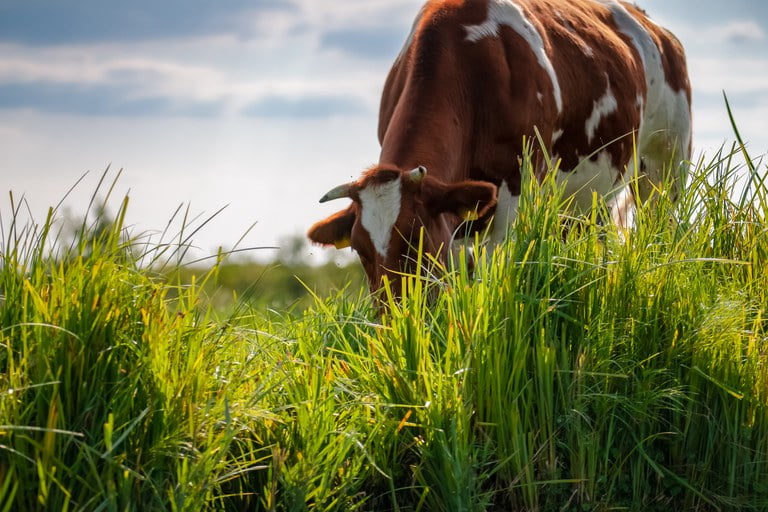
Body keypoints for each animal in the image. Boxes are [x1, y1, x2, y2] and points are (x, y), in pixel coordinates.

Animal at [308, 0, 691, 295]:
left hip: (666, 166)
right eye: (360, 250)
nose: (394, 321)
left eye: (417, 239)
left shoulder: (513, 193)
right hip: (587, 198)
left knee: (663, 230)